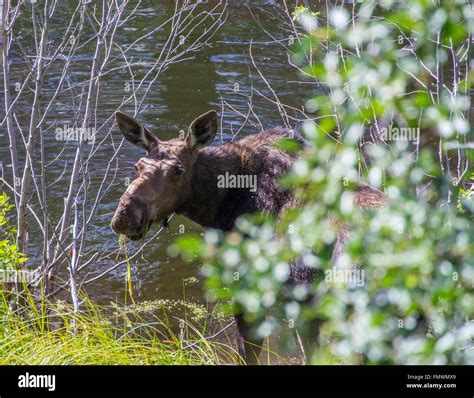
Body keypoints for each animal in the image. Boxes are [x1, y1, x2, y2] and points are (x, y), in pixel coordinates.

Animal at [112, 109, 388, 364]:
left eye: (178, 171)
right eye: (138, 166)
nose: (124, 216)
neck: (216, 206)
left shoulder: (248, 283)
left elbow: (249, 352)